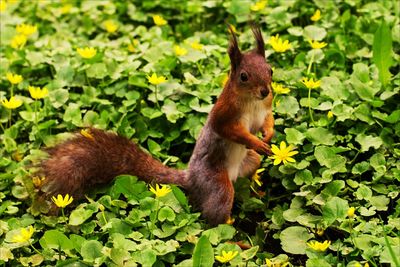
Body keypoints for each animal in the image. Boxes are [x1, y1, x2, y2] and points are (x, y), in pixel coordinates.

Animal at [39, 25, 274, 226]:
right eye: (243, 76)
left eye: (270, 70)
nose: (265, 91)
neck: (252, 101)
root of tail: (190, 177)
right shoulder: (224, 113)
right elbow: (228, 130)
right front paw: (255, 141)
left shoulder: (265, 107)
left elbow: (267, 120)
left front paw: (268, 135)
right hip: (216, 183)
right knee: (214, 220)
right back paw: (236, 239)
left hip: (249, 162)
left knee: (252, 167)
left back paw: (259, 192)